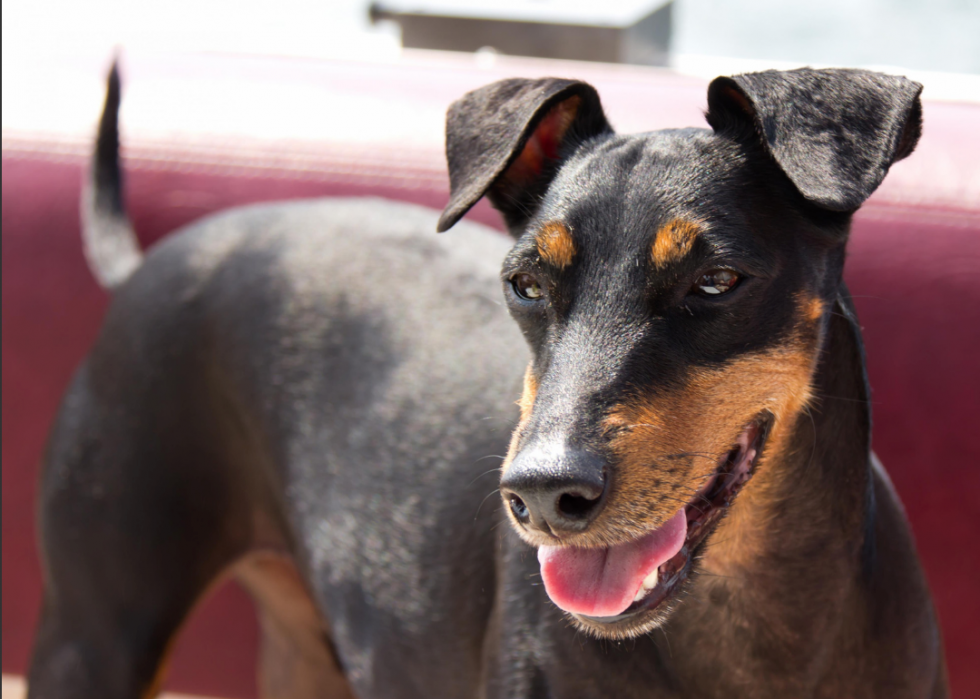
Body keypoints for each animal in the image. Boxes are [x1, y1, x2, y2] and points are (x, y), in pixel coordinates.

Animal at [32, 65, 948, 699]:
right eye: (526, 283)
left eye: (716, 281)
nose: (544, 493)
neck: (754, 622)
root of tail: (148, 262)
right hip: (92, 634)